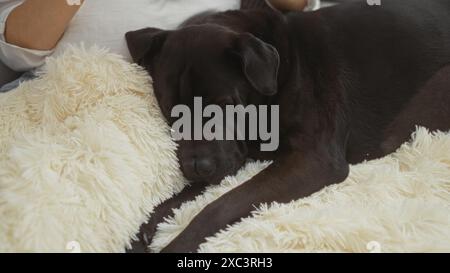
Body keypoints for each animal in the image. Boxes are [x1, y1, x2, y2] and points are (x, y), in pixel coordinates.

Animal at [125, 0, 450, 253]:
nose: (196, 168)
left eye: (225, 104)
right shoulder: (234, 154)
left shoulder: (314, 159)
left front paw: (178, 243)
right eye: (171, 110)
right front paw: (148, 223)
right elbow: (185, 193)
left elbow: (221, 204)